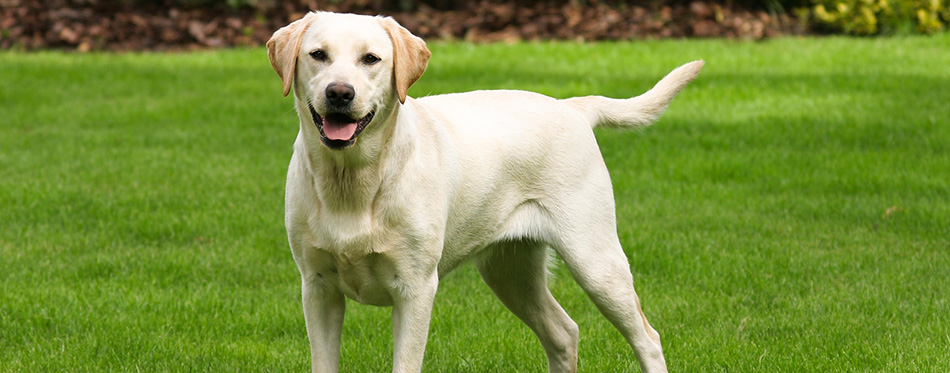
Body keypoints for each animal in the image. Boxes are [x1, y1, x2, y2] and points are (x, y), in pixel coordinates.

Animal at [266, 10, 700, 370]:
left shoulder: (415, 290)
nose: (339, 93)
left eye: (370, 59)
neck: (353, 180)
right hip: (509, 270)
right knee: (564, 333)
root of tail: (572, 106)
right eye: (318, 55)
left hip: (595, 261)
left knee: (647, 338)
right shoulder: (317, 288)